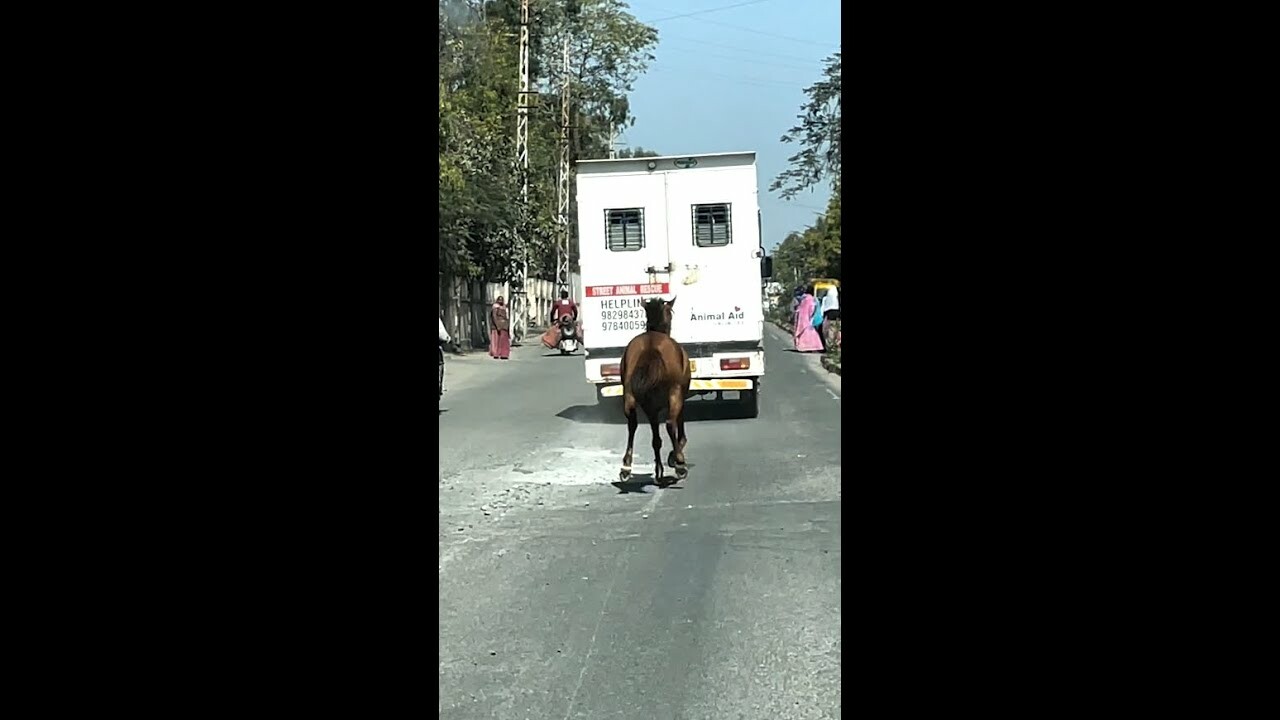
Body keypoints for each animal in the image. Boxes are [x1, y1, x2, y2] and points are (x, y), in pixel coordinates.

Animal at [616, 294, 691, 484]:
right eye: (671, 313)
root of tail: (651, 347)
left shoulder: (652, 407)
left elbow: (655, 438)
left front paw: (659, 470)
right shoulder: (680, 396)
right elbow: (679, 428)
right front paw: (675, 457)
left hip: (630, 396)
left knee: (632, 424)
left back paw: (626, 467)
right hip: (674, 393)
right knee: (670, 423)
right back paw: (680, 465)